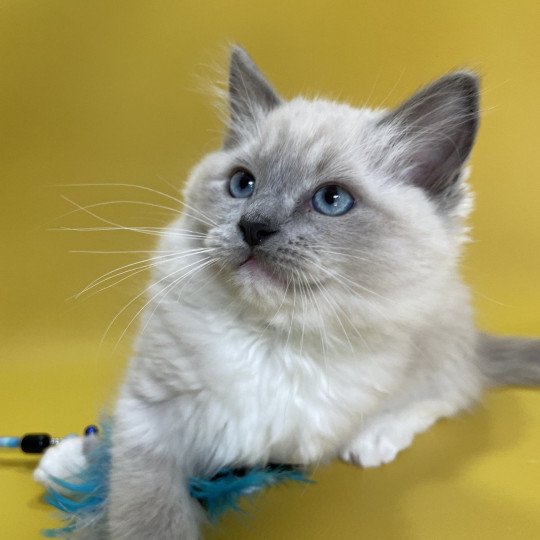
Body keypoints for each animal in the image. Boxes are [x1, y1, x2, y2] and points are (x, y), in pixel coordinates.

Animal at [106, 47, 540, 540]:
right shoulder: (148, 418)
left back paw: (375, 439)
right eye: (242, 184)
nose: (253, 227)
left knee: (453, 389)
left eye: (332, 200)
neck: (270, 340)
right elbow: (147, 509)